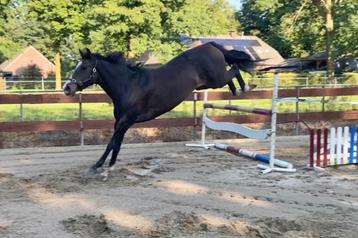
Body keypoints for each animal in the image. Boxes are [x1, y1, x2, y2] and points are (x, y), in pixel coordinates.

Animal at [63, 42, 256, 173]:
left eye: (84, 67)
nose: (67, 88)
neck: (128, 85)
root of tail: (210, 45)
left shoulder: (126, 121)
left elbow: (112, 142)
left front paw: (101, 166)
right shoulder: (120, 122)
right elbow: (115, 143)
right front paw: (105, 166)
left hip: (217, 79)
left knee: (235, 68)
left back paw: (246, 87)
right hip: (209, 83)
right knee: (232, 73)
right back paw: (239, 90)